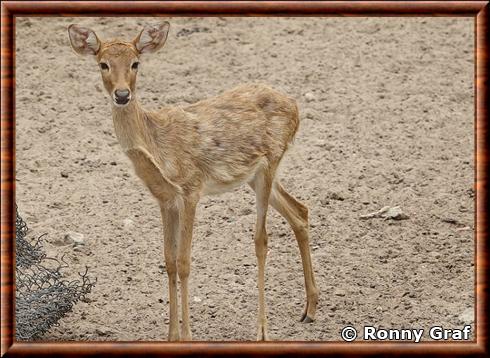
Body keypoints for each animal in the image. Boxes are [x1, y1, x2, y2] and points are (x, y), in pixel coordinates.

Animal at [69, 22, 320, 342]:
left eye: (136, 63)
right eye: (103, 64)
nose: (122, 94)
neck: (157, 147)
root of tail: (295, 105)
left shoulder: (191, 188)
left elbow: (185, 262)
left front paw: (187, 335)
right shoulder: (165, 199)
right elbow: (169, 261)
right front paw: (170, 336)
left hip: (270, 162)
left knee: (261, 238)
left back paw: (263, 330)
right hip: (255, 176)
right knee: (300, 211)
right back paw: (309, 309)